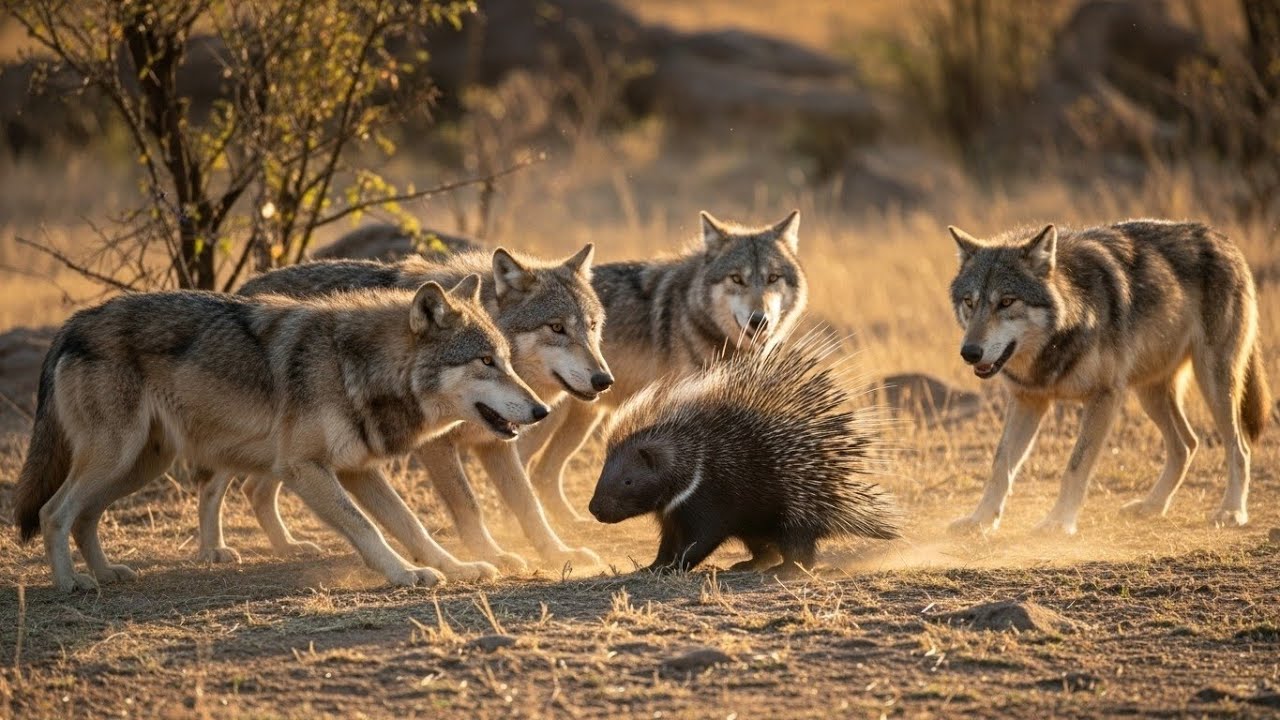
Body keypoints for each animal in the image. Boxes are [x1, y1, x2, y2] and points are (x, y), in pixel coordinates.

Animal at [14, 277, 549, 592]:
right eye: (486, 361)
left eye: (506, 360)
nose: (541, 410)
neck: (352, 368)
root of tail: (73, 323)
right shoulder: (305, 468)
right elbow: (368, 528)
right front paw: (403, 574)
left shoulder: (358, 471)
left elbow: (411, 524)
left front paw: (453, 567)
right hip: (116, 458)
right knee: (53, 512)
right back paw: (72, 584)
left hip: (139, 466)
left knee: (84, 517)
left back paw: (107, 574)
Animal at [196, 246, 609, 571]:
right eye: (556, 327)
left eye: (591, 326)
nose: (604, 379)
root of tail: (243, 288)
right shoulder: (435, 446)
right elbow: (468, 504)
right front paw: (491, 555)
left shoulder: (494, 443)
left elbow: (528, 505)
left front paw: (557, 553)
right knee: (214, 485)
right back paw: (214, 550)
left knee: (255, 488)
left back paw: (287, 546)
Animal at [945, 220, 1270, 535]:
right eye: (969, 302)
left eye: (1007, 301)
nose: (969, 352)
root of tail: (1222, 237)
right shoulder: (1029, 399)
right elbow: (1000, 464)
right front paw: (980, 520)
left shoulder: (1105, 396)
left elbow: (1075, 466)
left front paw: (1059, 523)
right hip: (1149, 393)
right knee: (1187, 444)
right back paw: (1152, 505)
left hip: (1214, 382)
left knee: (1239, 447)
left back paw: (1231, 511)